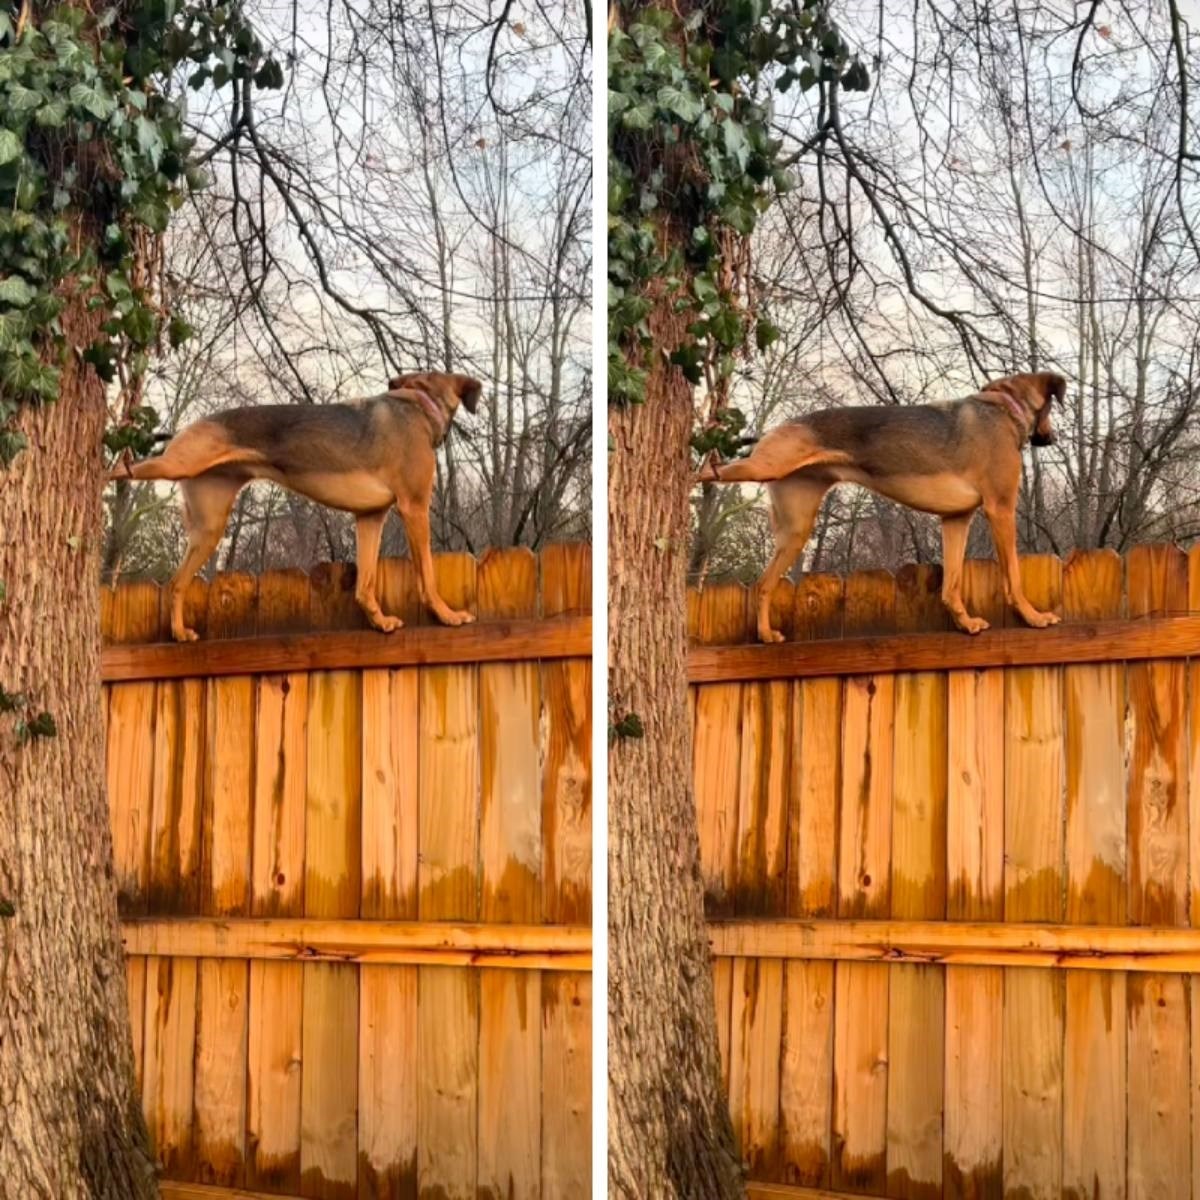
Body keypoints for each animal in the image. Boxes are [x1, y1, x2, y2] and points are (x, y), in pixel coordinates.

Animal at [109, 369, 482, 643]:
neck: (421, 403)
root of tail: (188, 425)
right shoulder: (414, 507)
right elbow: (427, 575)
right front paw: (447, 615)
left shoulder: (369, 517)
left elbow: (365, 584)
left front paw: (379, 621)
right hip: (178, 464)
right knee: (123, 468)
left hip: (208, 526)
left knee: (176, 583)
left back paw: (179, 632)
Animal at [696, 369, 1070, 643]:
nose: (1052, 438)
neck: (1006, 407)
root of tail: (776, 427)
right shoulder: (1001, 508)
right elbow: (1014, 576)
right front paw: (1034, 617)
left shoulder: (955, 519)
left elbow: (951, 584)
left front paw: (965, 623)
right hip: (765, 467)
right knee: (712, 470)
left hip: (795, 528)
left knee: (763, 584)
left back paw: (765, 634)